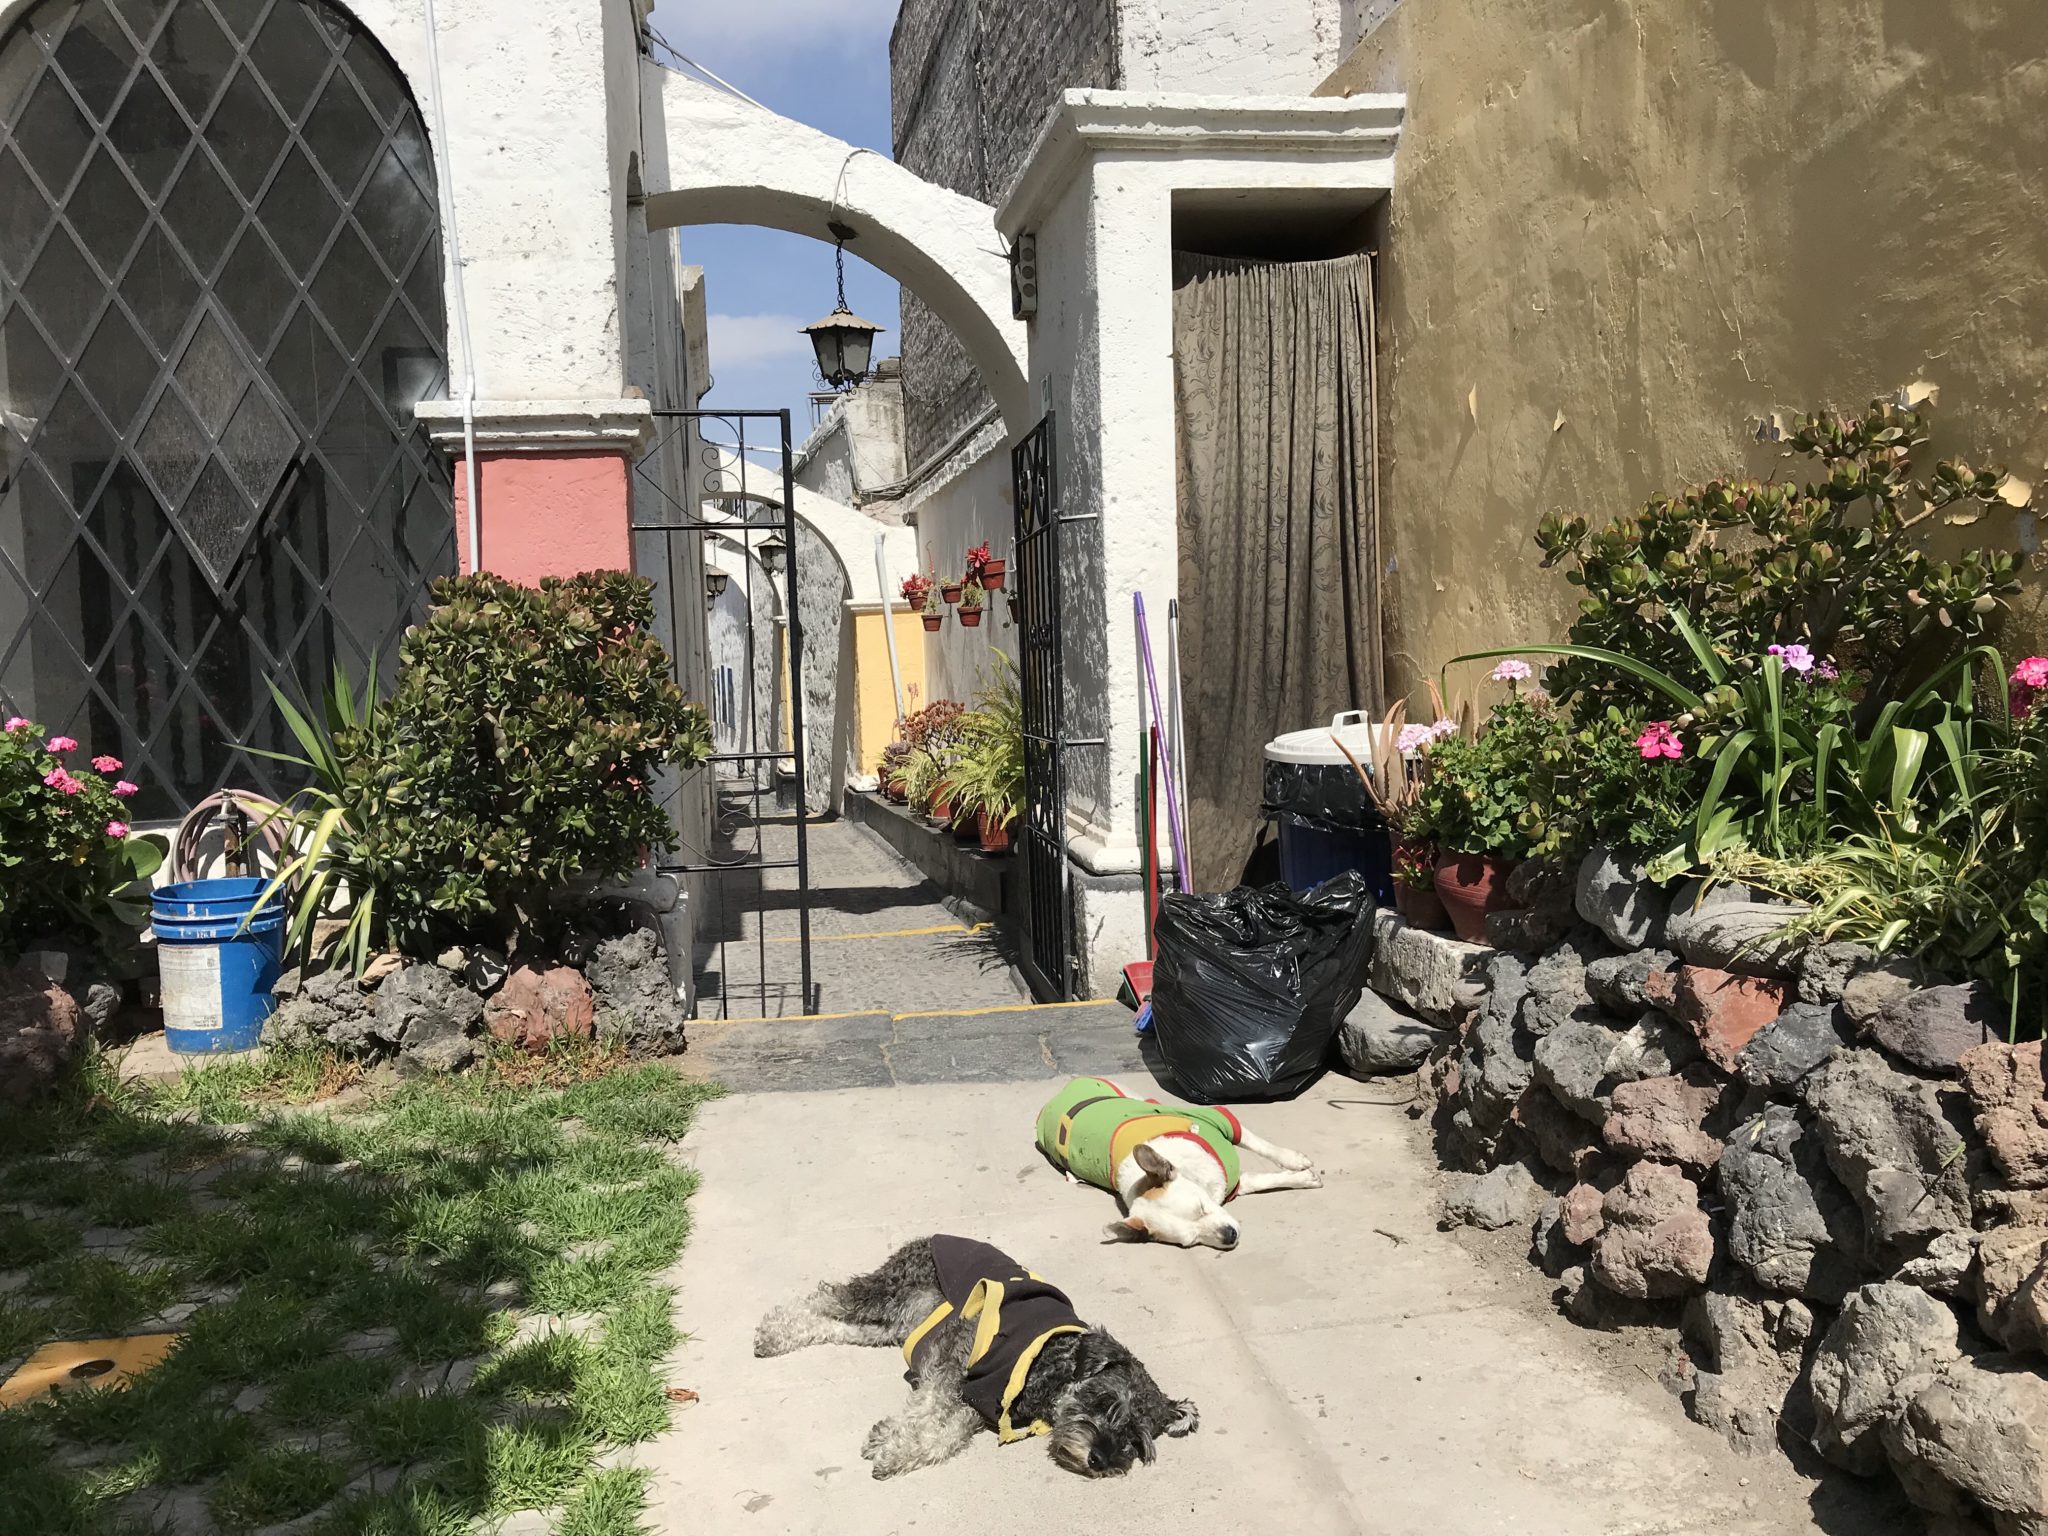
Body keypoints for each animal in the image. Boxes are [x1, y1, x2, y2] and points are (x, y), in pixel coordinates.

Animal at [757, 1236, 1196, 1482]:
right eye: (1105, 1402)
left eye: (1136, 1440)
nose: (1100, 1460)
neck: (1048, 1368)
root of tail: (928, 1236)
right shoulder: (955, 1361)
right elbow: (927, 1406)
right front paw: (893, 1437)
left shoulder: (979, 1402)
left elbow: (945, 1435)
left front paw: (896, 1449)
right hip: (884, 1292)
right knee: (826, 1297)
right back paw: (772, 1332)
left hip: (888, 1326)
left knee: (838, 1326)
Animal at [1032, 1081, 1318, 1253]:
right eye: (1192, 1241)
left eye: (1201, 1208)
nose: (1229, 1235)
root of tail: (1054, 1099)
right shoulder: (1232, 1182)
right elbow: (1259, 1181)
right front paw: (1302, 1178)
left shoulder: (1219, 1120)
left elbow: (1259, 1145)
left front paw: (1294, 1162)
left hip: (1129, 1095)